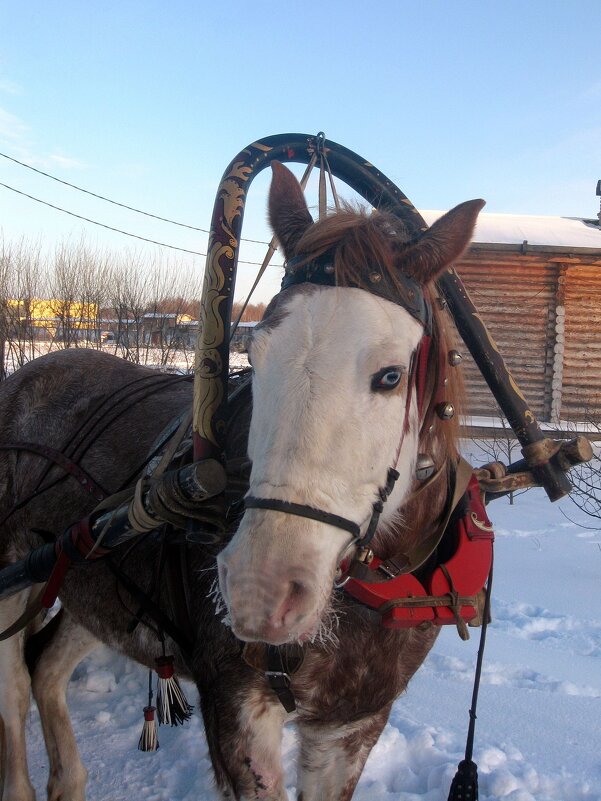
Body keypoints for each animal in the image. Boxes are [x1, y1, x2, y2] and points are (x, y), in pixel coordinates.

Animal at [0, 162, 480, 800]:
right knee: (13, 684)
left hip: (94, 581)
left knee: (46, 666)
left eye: (390, 375)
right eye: (256, 356)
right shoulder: (237, 708)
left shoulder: (351, 725)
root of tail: (29, 372)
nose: (261, 588)